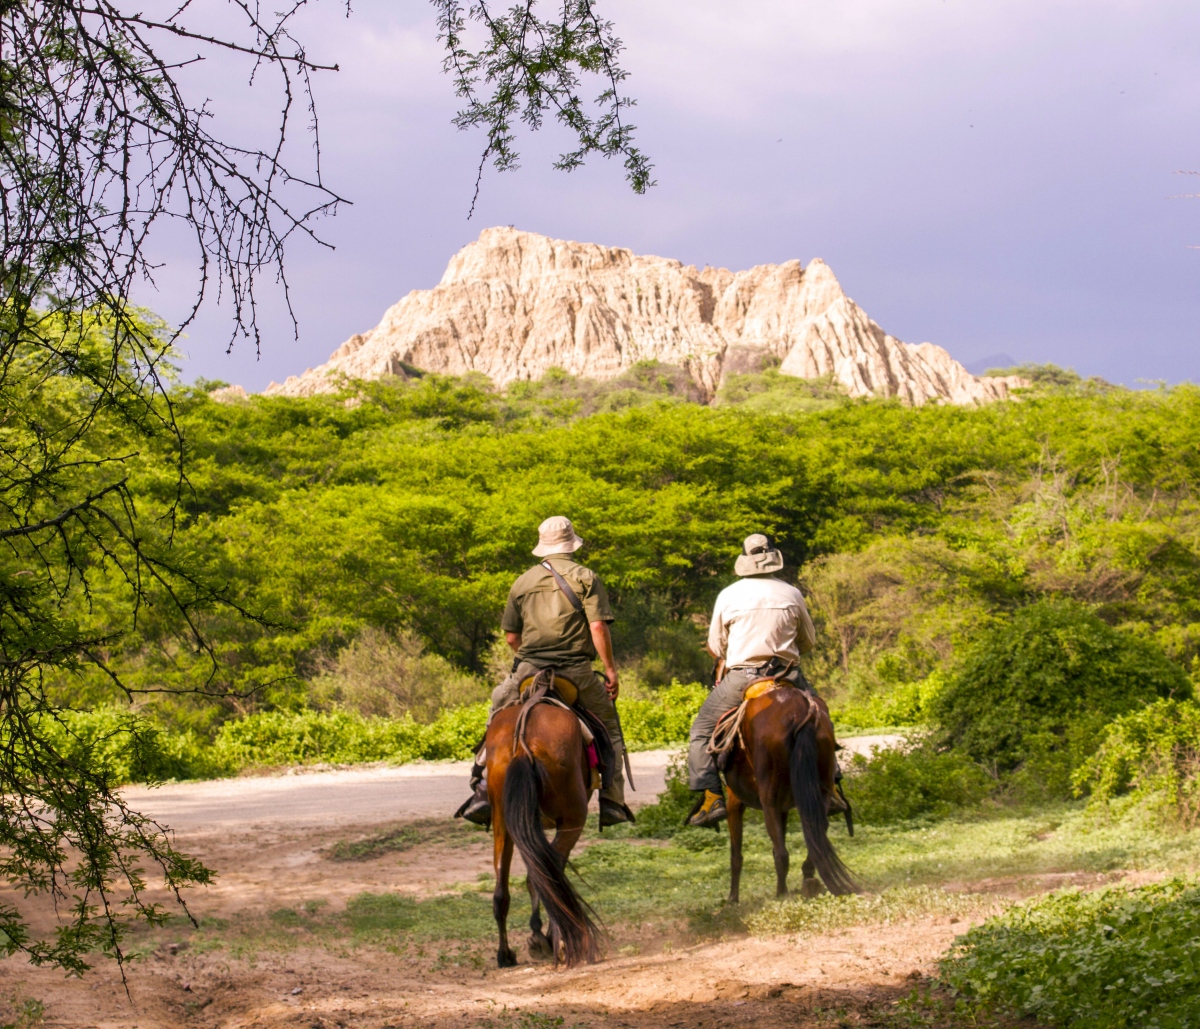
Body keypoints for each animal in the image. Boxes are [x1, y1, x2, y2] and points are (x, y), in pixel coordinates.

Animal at [484, 695, 604, 964]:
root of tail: (523, 743)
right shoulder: (566, 824)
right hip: (572, 818)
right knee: (547, 875)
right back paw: (548, 939)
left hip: (502, 819)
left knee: (502, 888)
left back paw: (505, 954)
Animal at [715, 686, 859, 901]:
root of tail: (799, 710)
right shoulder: (783, 807)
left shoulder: (735, 801)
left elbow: (736, 855)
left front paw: (733, 898)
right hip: (819, 789)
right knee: (816, 833)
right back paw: (807, 880)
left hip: (769, 801)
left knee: (783, 853)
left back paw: (782, 894)